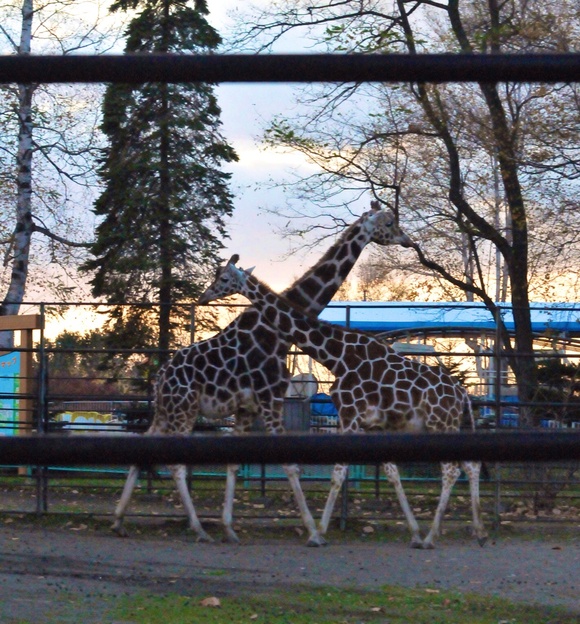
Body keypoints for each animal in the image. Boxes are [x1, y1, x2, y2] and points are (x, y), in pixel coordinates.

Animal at [112, 201, 412, 544]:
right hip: (183, 409)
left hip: (167, 410)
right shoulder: (271, 398)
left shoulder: (248, 407)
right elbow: (290, 466)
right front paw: (313, 531)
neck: (277, 334)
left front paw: (230, 528)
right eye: (389, 223)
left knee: (143, 447)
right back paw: (198, 529)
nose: (407, 240)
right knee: (175, 465)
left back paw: (119, 522)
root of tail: (161, 377)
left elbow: (234, 464)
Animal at [199, 256, 490, 548]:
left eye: (224, 278)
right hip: (454, 425)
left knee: (451, 470)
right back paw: (478, 532)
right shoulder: (371, 424)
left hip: (440, 424)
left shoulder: (350, 415)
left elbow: (339, 472)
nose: (204, 296)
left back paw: (433, 536)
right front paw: (414, 532)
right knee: (471, 465)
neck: (338, 356)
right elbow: (391, 472)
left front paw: (318, 534)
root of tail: (462, 395)